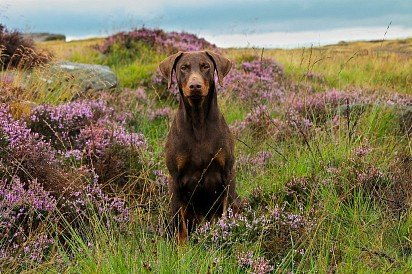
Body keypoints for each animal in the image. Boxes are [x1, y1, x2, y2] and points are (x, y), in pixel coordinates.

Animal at [159, 49, 238, 242]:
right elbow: (180, 225)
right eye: (183, 68)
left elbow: (226, 211)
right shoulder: (175, 179)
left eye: (205, 66)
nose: (195, 86)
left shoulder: (227, 173)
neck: (198, 122)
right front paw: (181, 247)